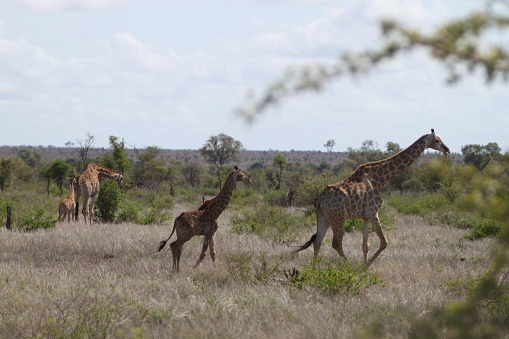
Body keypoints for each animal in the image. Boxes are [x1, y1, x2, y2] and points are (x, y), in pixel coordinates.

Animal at [294, 130, 448, 268]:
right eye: (437, 140)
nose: (447, 150)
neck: (381, 179)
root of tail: (320, 200)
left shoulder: (366, 216)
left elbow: (365, 245)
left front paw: (365, 267)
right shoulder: (373, 212)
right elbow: (384, 242)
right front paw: (364, 268)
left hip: (323, 216)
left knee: (318, 241)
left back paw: (313, 271)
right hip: (338, 217)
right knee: (336, 243)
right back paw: (349, 269)